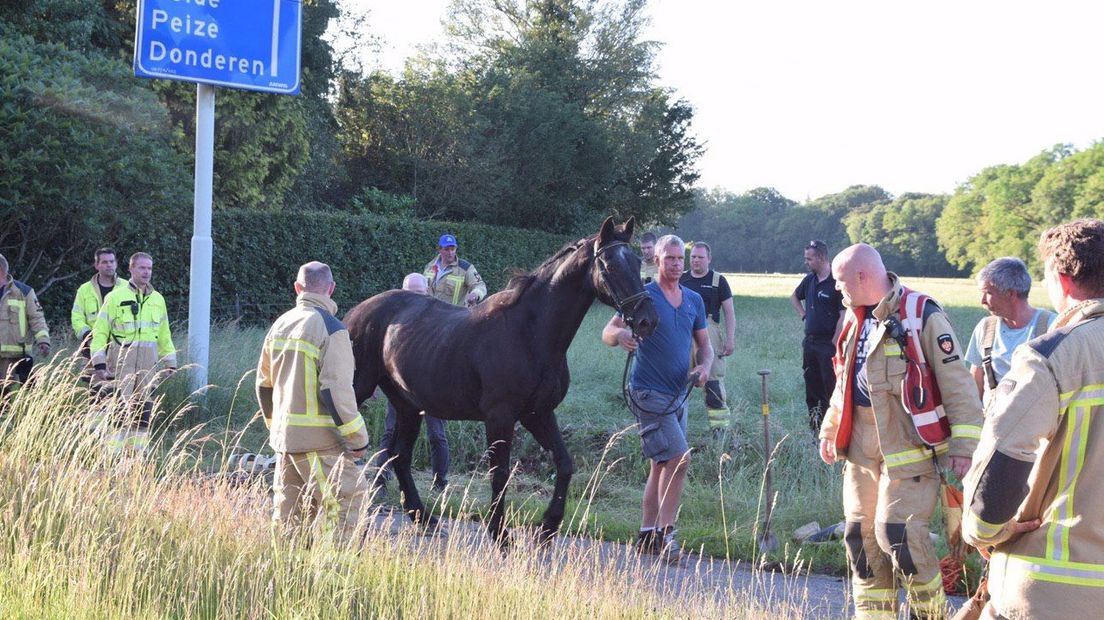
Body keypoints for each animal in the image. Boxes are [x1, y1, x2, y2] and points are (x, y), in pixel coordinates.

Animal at [344, 216, 653, 540]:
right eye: (611, 266)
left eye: (637, 263)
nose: (647, 319)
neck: (530, 334)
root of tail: (355, 313)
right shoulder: (500, 418)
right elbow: (500, 474)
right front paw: (500, 532)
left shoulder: (538, 414)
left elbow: (565, 464)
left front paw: (548, 526)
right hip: (357, 388)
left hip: (407, 406)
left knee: (400, 457)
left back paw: (424, 518)